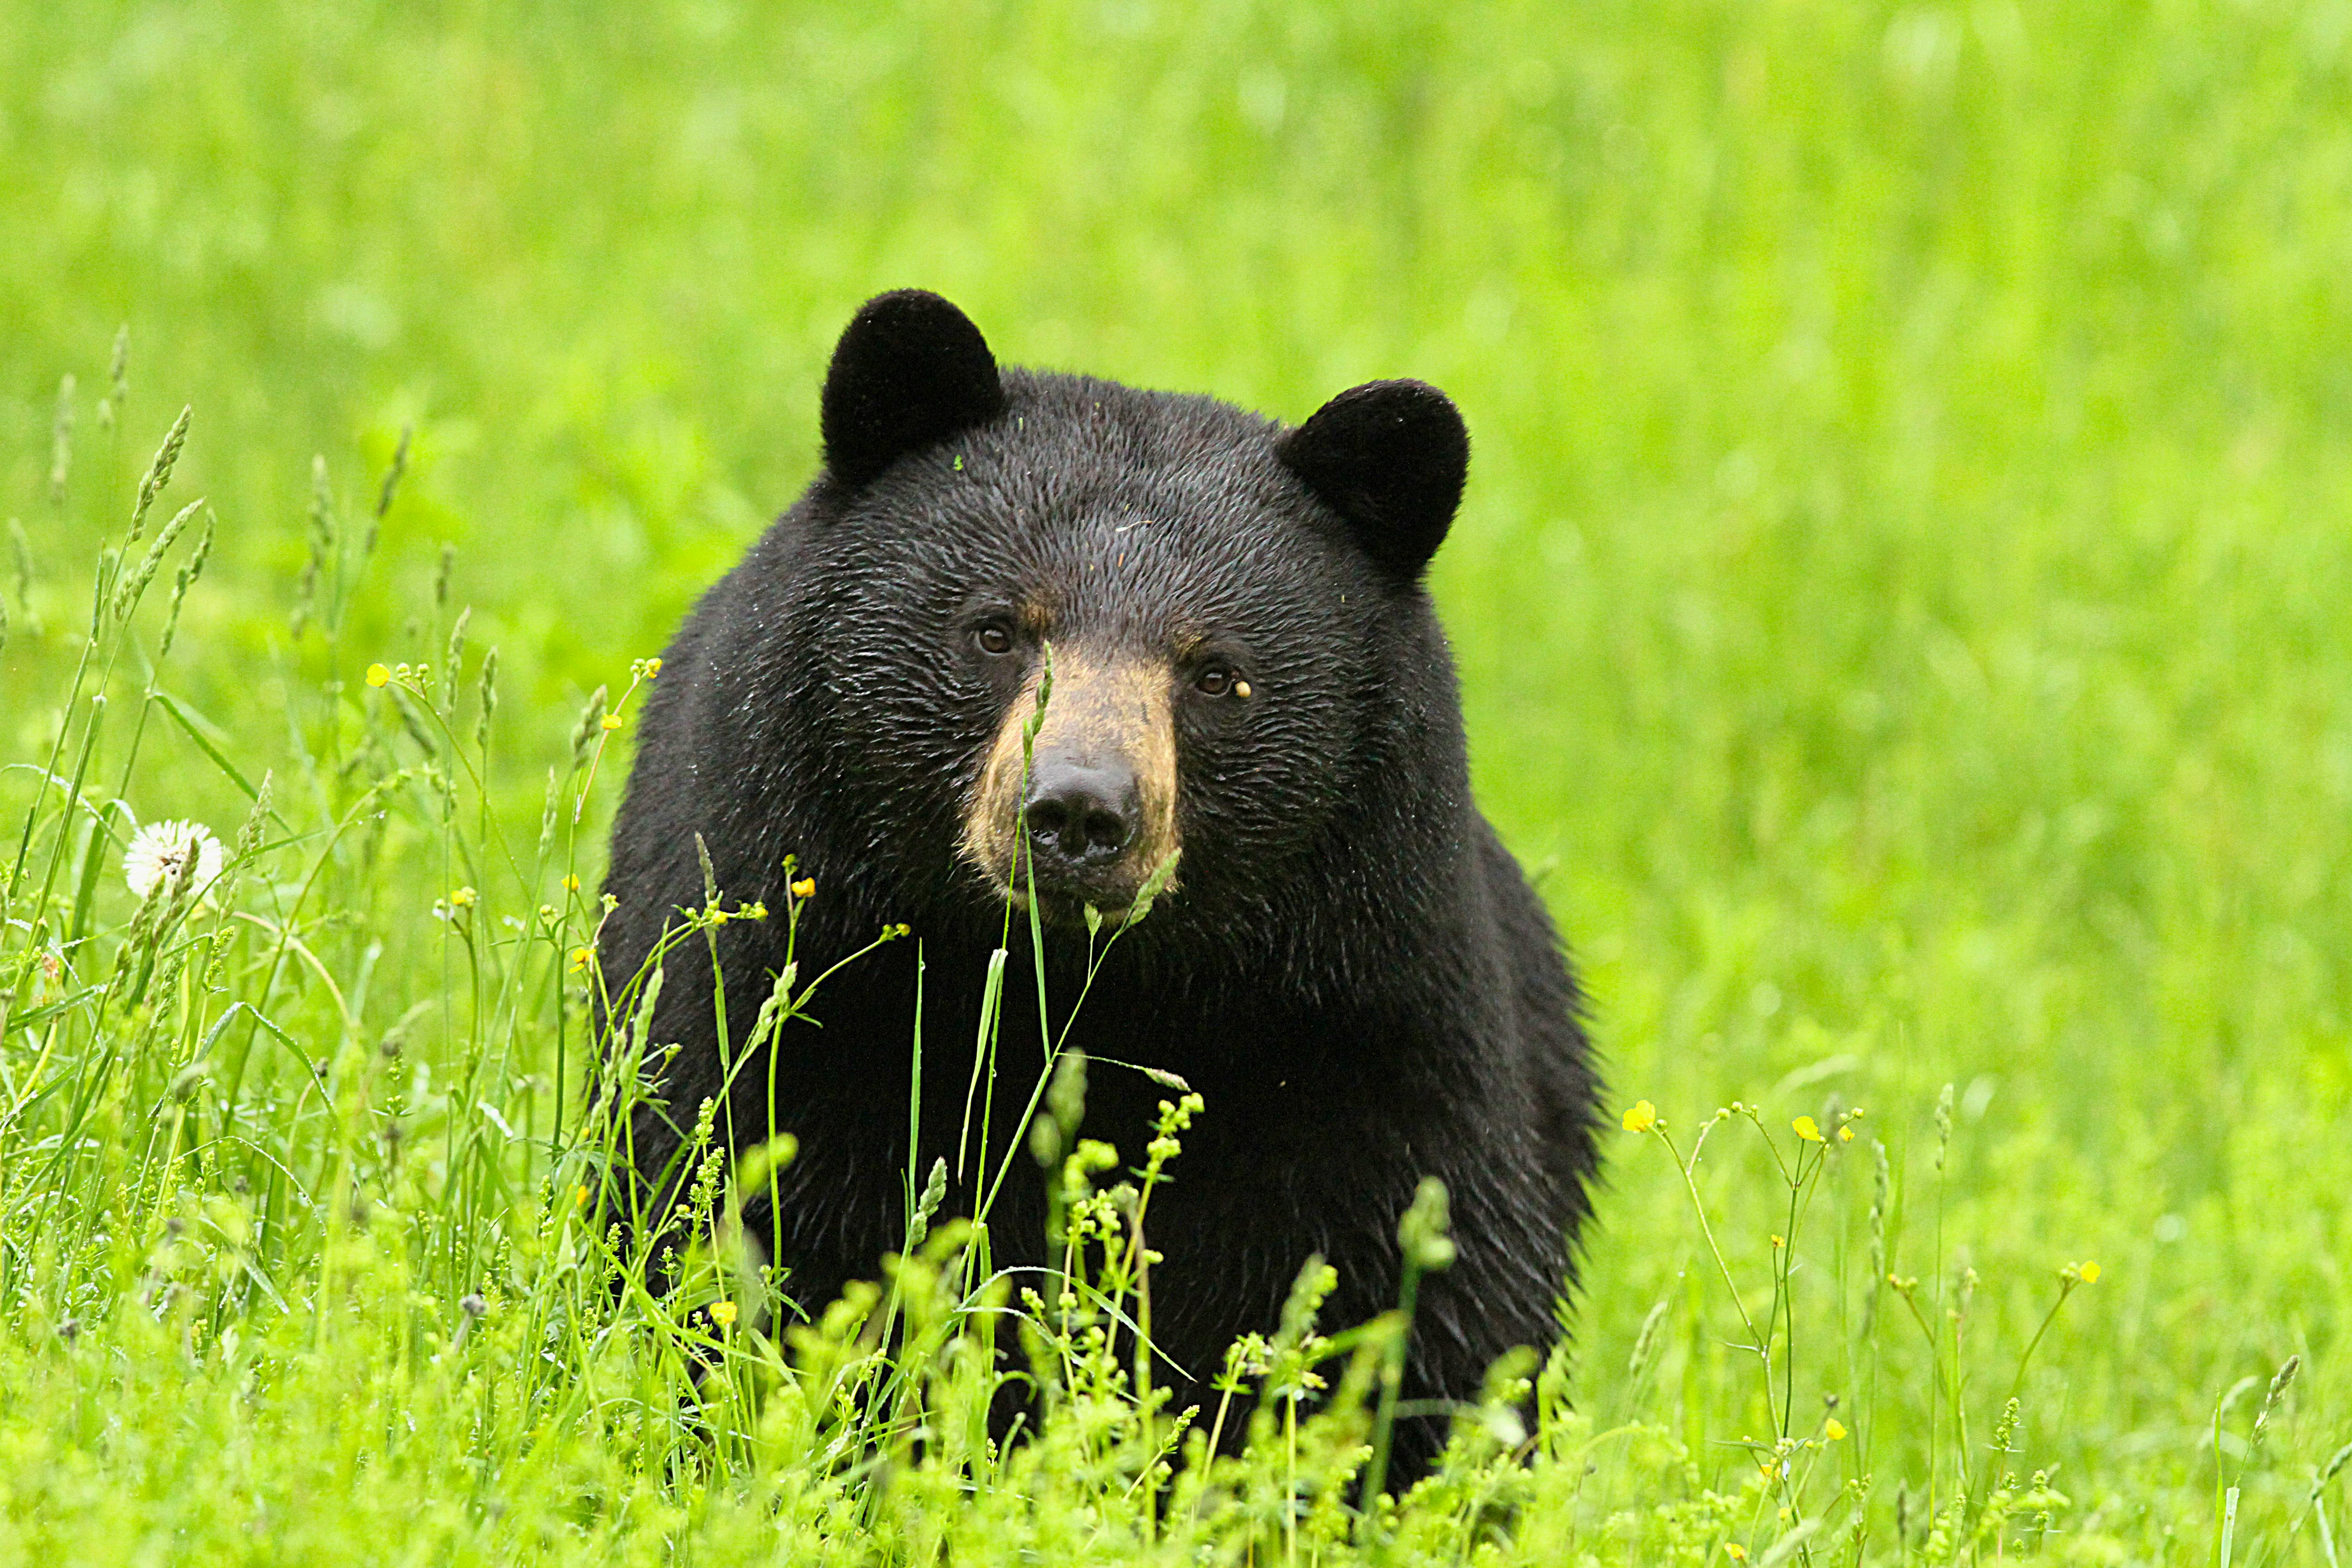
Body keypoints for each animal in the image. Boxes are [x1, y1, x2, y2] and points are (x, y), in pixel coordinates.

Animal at [597, 288, 1608, 1476]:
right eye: (994, 627)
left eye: (1218, 673)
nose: (1077, 811)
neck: (1091, 995)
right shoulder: (789, 973)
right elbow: (740, 1213)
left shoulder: (1366, 1023)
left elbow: (1423, 1297)